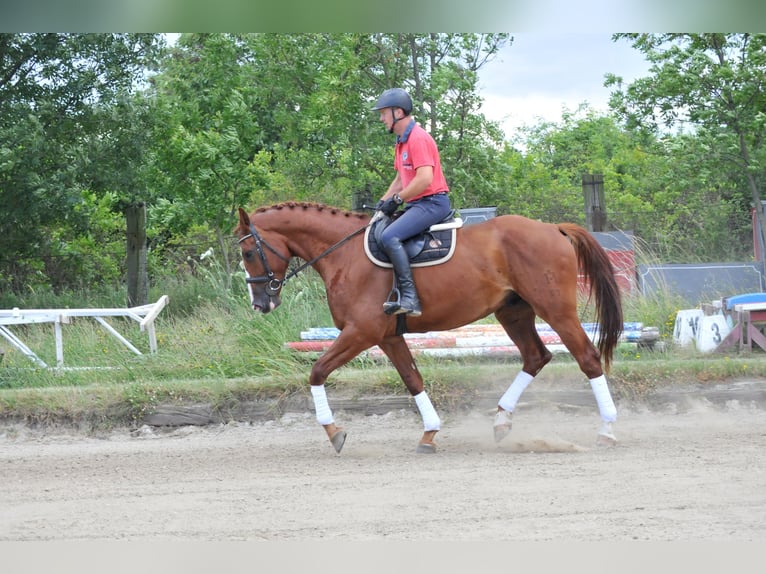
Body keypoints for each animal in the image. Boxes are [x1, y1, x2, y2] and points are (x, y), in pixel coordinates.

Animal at [236, 201, 624, 454]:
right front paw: (430, 433)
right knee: (535, 357)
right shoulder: (388, 337)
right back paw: (501, 422)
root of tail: (552, 228)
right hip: (513, 312)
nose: (261, 304)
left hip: (555, 309)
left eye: (249, 253)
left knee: (587, 359)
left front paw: (334, 433)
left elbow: (317, 371)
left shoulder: (361, 333)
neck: (344, 255)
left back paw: (606, 430)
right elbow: (413, 379)